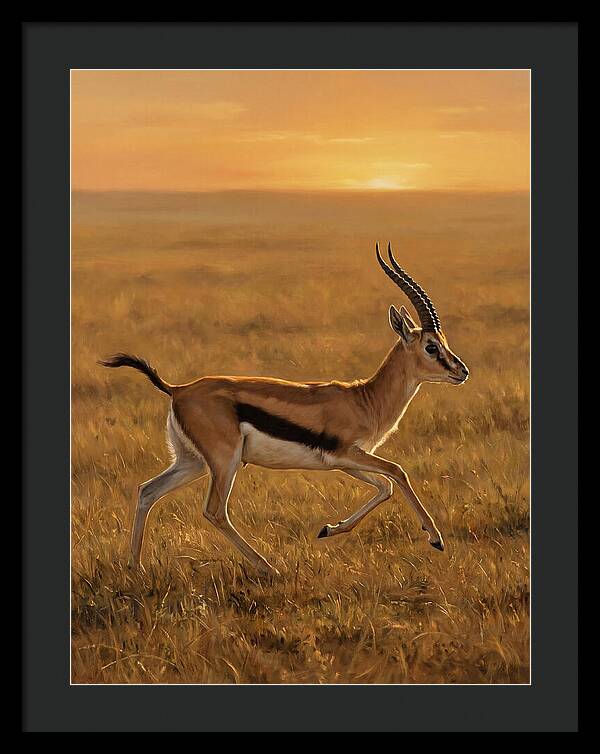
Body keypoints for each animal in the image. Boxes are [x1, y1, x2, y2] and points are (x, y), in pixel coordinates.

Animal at [100, 243, 469, 576]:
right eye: (431, 347)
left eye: (444, 342)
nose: (462, 371)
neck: (365, 399)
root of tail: (178, 389)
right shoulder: (347, 453)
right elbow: (397, 472)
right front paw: (436, 539)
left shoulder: (344, 461)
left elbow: (385, 487)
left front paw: (328, 529)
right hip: (224, 461)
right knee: (215, 511)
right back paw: (269, 568)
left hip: (192, 462)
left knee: (147, 491)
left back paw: (136, 568)